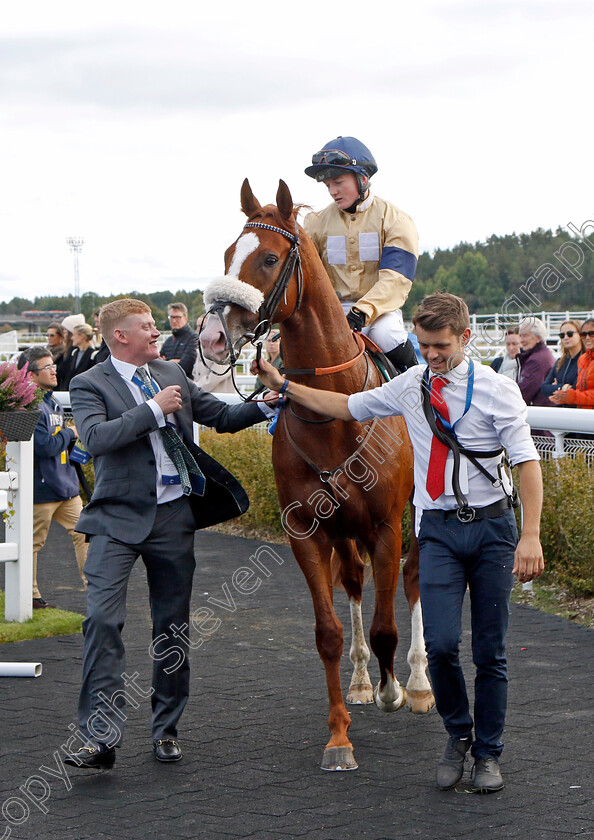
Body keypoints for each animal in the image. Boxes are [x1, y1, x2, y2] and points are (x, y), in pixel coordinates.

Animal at [201, 180, 432, 772]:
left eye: (268, 257)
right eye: (227, 253)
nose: (212, 337)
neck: (336, 410)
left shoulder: (384, 525)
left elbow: (385, 625)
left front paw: (395, 691)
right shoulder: (306, 530)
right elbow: (328, 631)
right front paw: (339, 736)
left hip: (418, 514)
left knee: (415, 579)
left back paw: (420, 684)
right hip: (344, 530)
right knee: (351, 583)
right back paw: (361, 682)